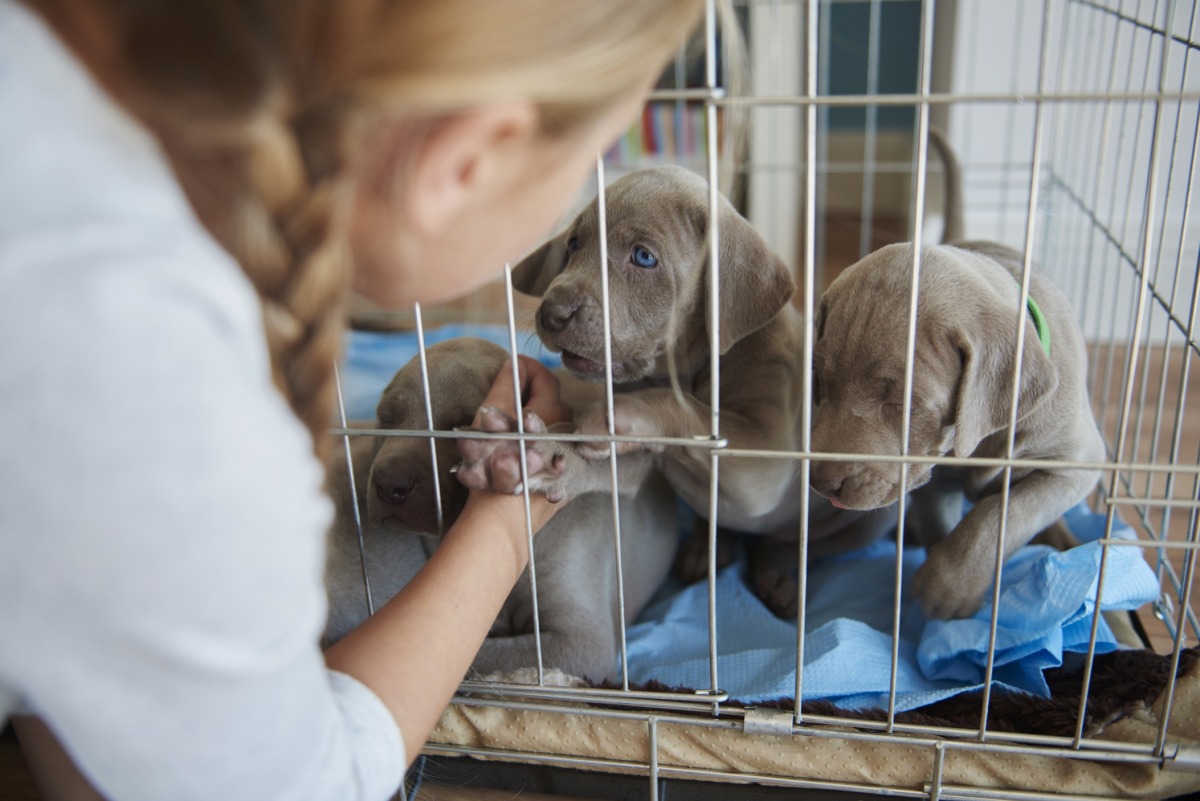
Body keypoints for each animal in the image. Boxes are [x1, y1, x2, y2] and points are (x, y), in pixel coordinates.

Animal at [456, 160, 902, 613]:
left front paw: (611, 417)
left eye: (643, 256)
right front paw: (530, 453)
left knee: (794, 540)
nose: (552, 313)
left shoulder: (767, 456)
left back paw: (775, 572)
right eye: (574, 244)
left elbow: (689, 411)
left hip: (870, 511)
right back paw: (708, 550)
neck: (699, 368)